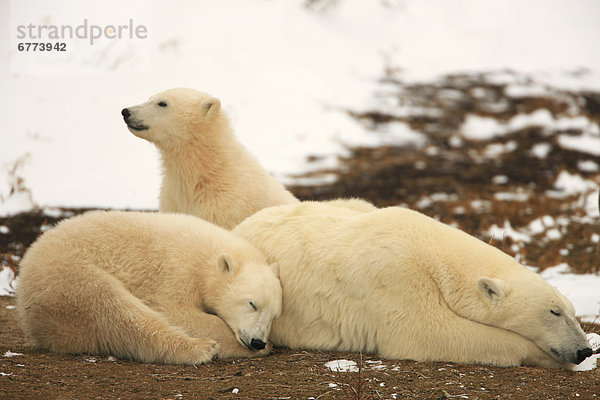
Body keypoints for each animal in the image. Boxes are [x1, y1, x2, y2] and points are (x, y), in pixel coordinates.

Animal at [15, 212, 284, 366]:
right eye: (252, 303)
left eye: (275, 315)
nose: (258, 342)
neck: (207, 257)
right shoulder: (176, 271)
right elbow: (174, 311)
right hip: (68, 278)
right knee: (116, 312)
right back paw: (200, 349)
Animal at [232, 203, 592, 368]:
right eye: (554, 312)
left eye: (572, 310)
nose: (584, 349)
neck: (432, 248)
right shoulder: (396, 275)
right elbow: (428, 332)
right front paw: (544, 355)